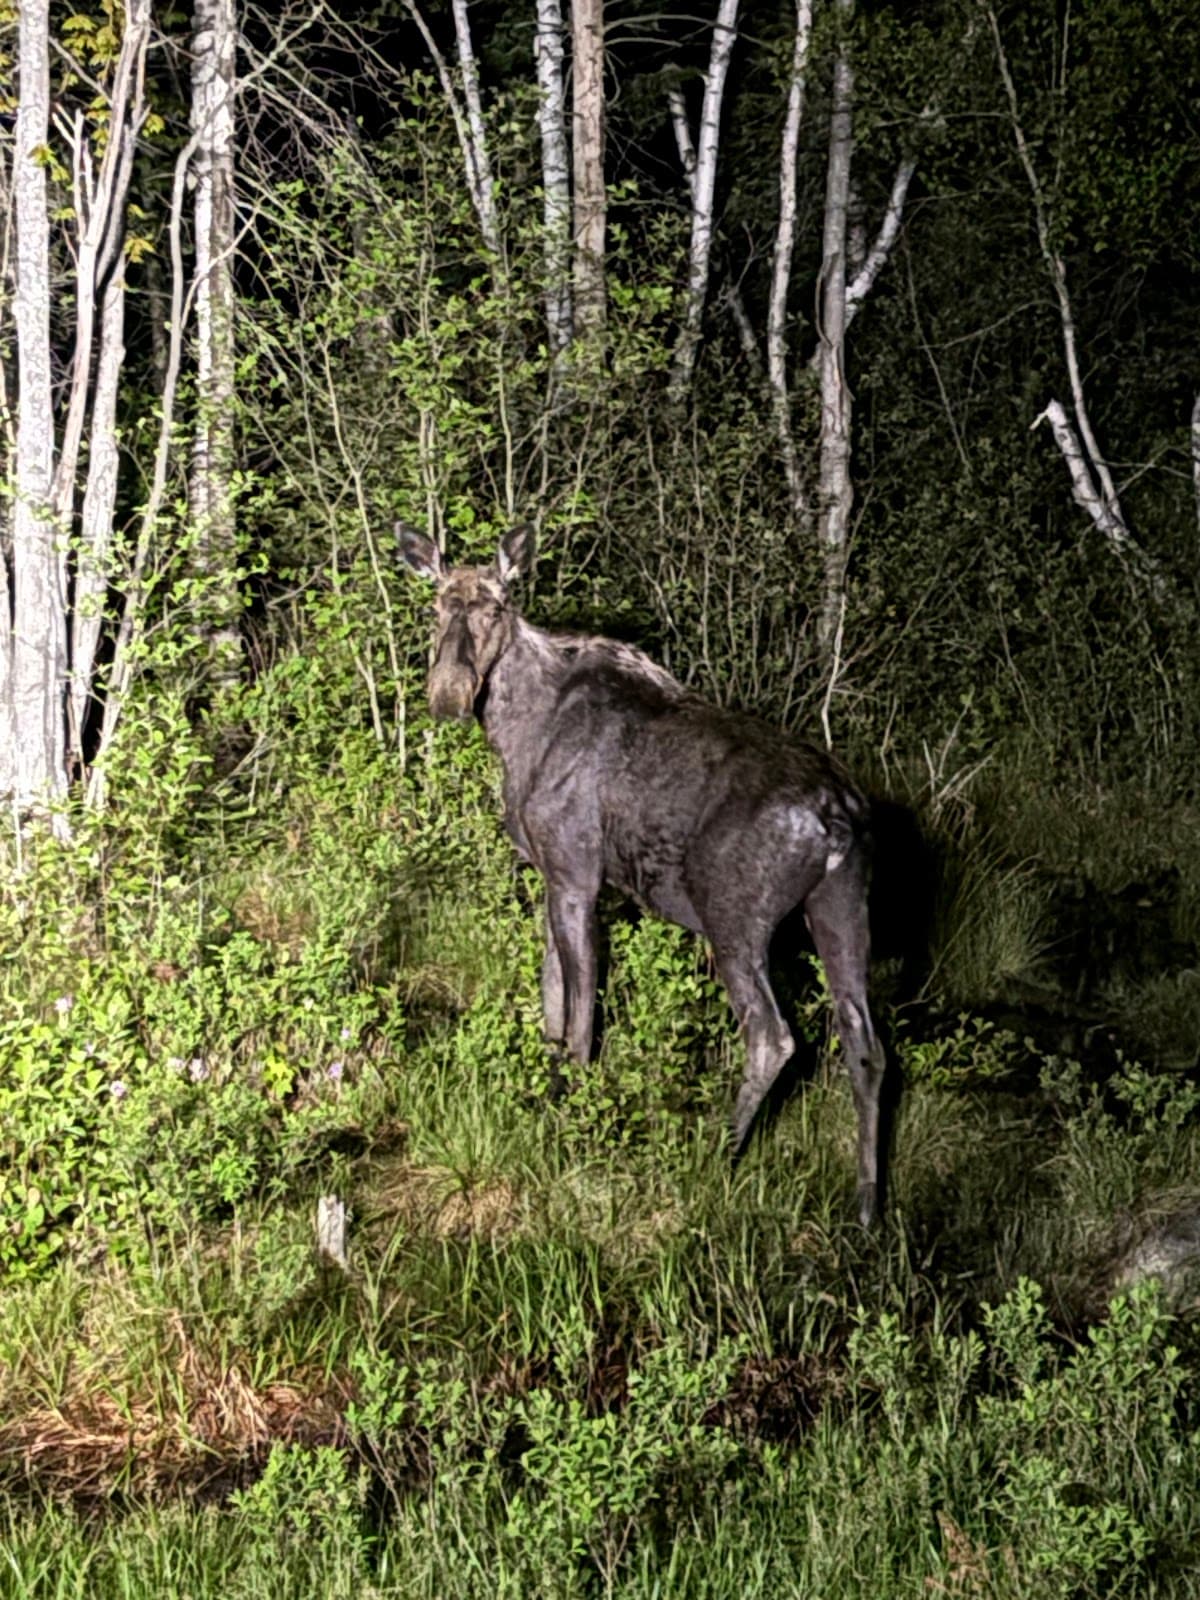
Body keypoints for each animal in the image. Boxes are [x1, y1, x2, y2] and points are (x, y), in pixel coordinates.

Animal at [398, 522, 888, 1225]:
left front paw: (574, 1111)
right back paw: (867, 1205)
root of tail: (838, 816)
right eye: (437, 606)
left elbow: (580, 1017)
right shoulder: (555, 876)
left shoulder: (576, 873)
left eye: (496, 607)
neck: (513, 731)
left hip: (734, 920)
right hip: (842, 907)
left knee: (773, 1037)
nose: (448, 694)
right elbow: (552, 999)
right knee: (866, 1045)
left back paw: (718, 1152)